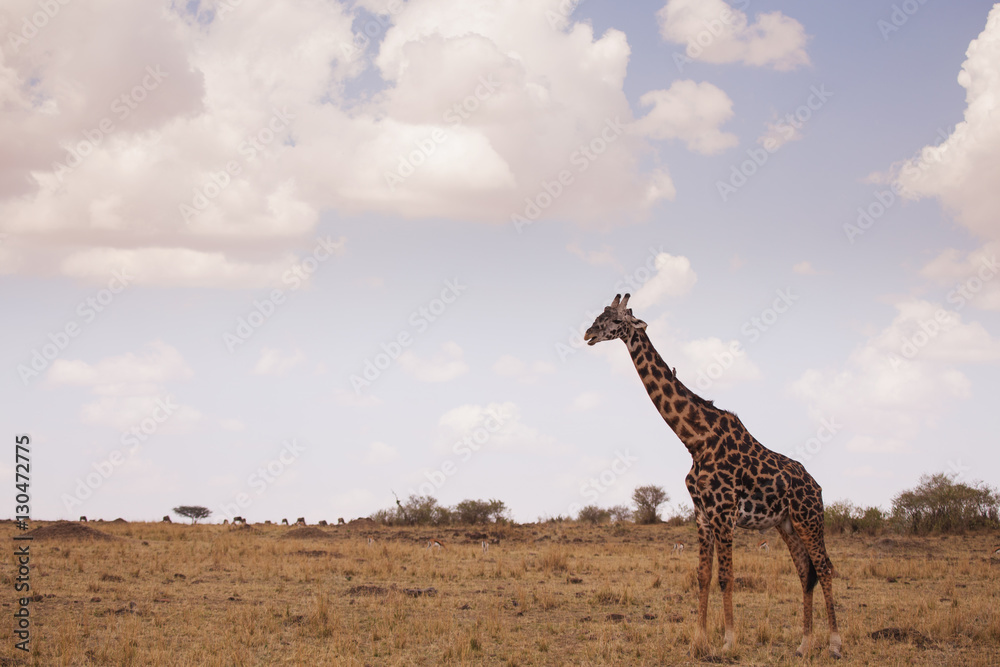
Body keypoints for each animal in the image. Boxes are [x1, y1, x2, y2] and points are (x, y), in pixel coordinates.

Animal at [585, 293, 841, 659]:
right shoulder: (703, 515)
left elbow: (726, 577)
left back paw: (834, 644)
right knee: (806, 572)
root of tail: (817, 487)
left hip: (810, 519)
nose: (588, 334)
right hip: (787, 524)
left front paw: (729, 641)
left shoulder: (724, 514)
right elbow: (703, 576)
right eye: (599, 315)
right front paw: (698, 640)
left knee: (825, 567)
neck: (695, 439)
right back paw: (803, 645)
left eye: (616, 321)